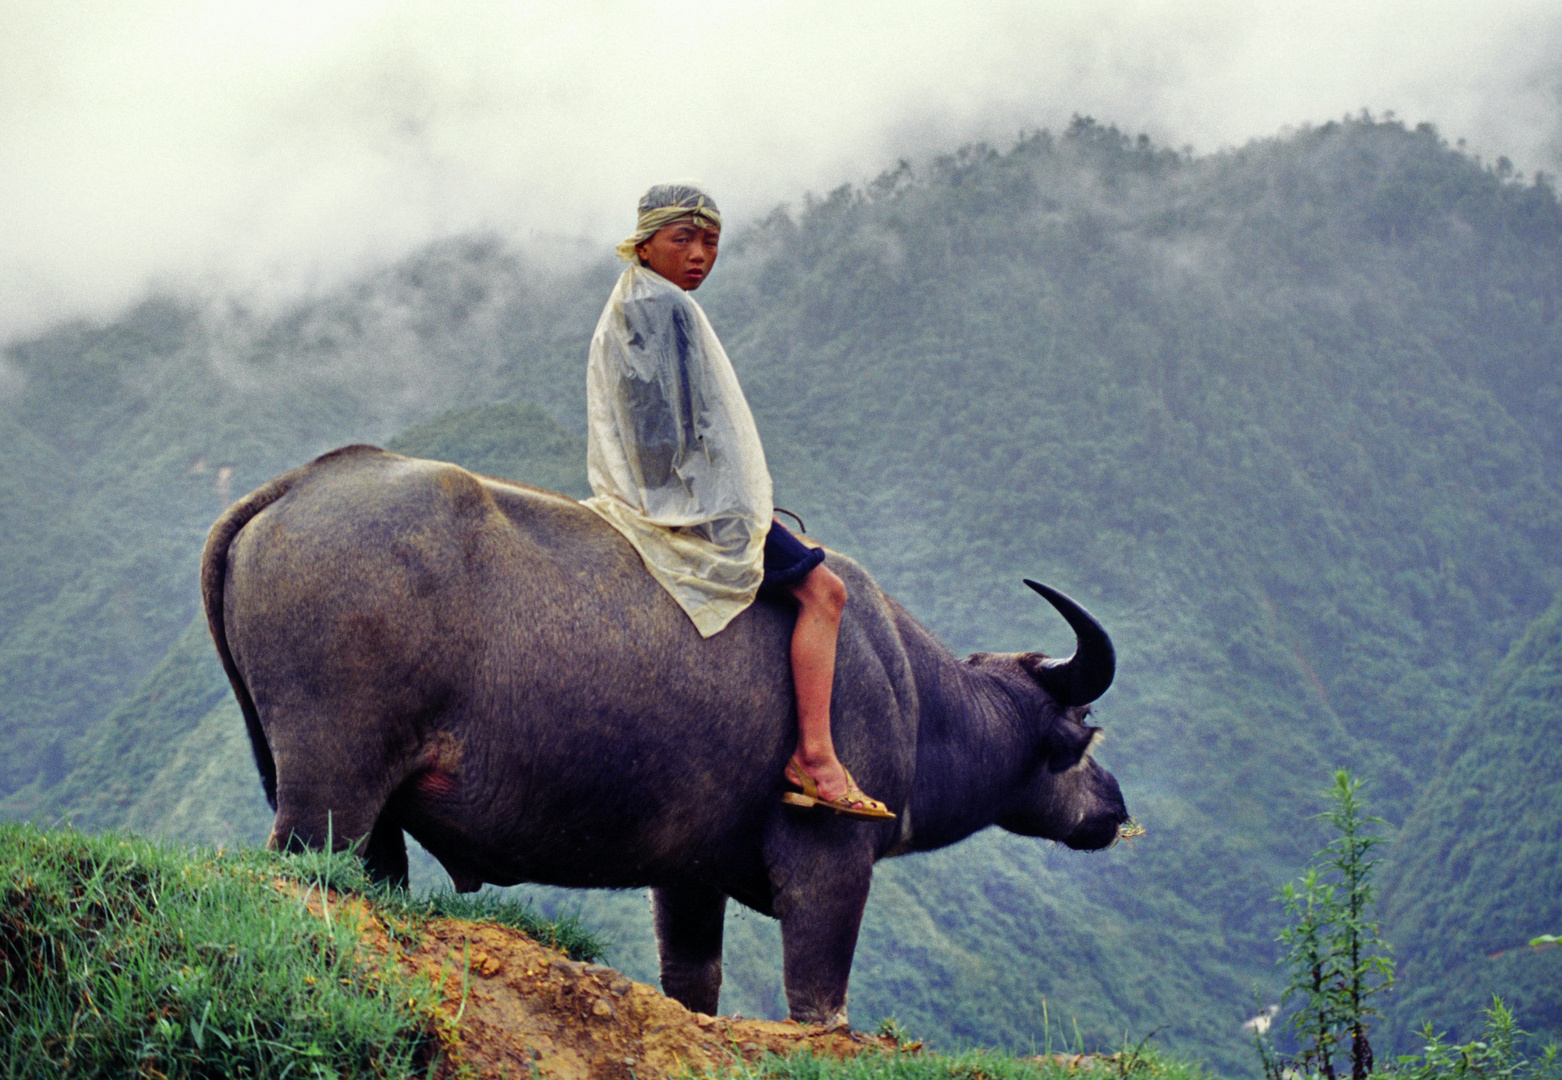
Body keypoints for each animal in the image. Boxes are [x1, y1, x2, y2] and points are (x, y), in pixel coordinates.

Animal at [201, 443, 1130, 1025]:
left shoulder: (688, 877)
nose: (1115, 808)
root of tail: (294, 487)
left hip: (364, 810)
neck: (915, 697)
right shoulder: (830, 866)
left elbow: (694, 980)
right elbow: (820, 1004)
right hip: (330, 787)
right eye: (1083, 739)